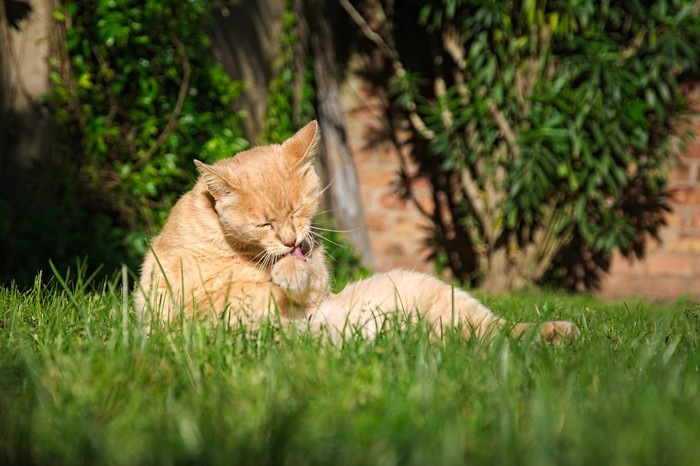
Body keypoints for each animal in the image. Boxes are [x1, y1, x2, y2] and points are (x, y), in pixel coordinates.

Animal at [135, 121, 580, 342]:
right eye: (263, 223)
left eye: (297, 210)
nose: (290, 240)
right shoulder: (197, 302)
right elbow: (249, 294)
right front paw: (283, 272)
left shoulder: (314, 278)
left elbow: (308, 275)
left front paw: (293, 268)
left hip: (440, 296)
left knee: (500, 332)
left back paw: (557, 331)